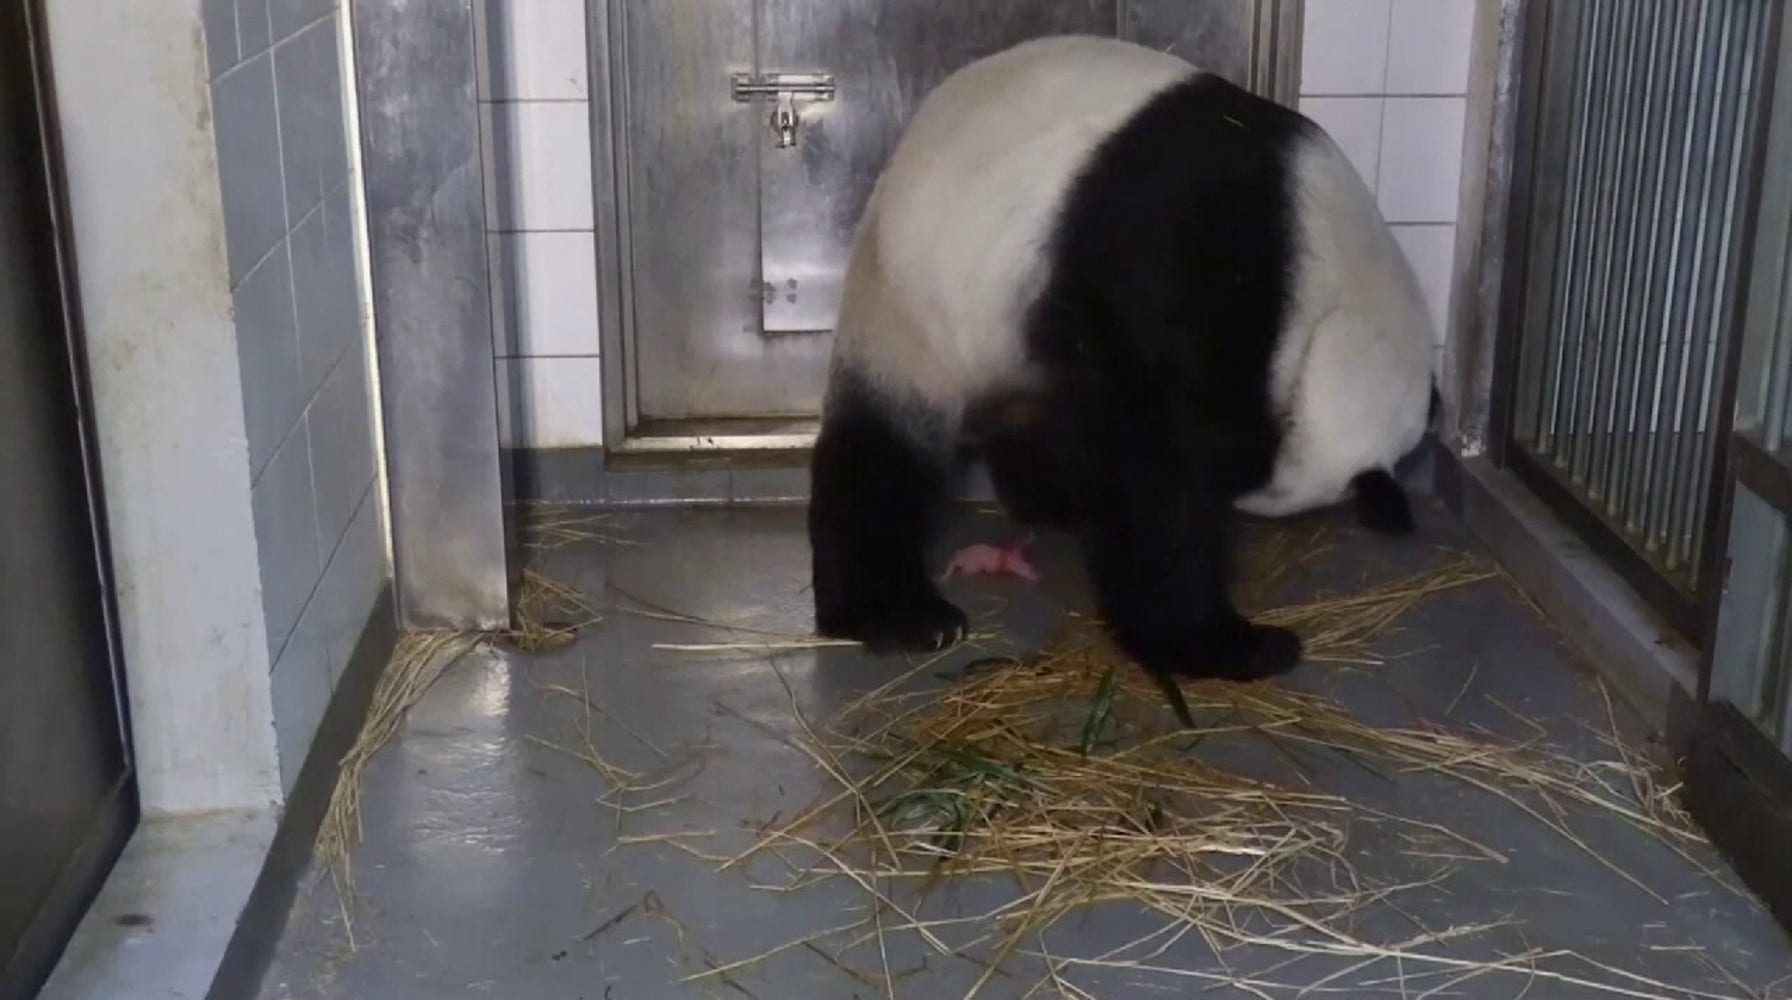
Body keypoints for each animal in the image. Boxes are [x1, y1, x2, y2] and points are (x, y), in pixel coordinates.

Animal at [806, 35, 1433, 684]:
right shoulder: (1187, 262)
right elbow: (1154, 456)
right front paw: (1225, 641)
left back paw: (1049, 501)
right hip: (916, 305)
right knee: (883, 452)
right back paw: (897, 613)